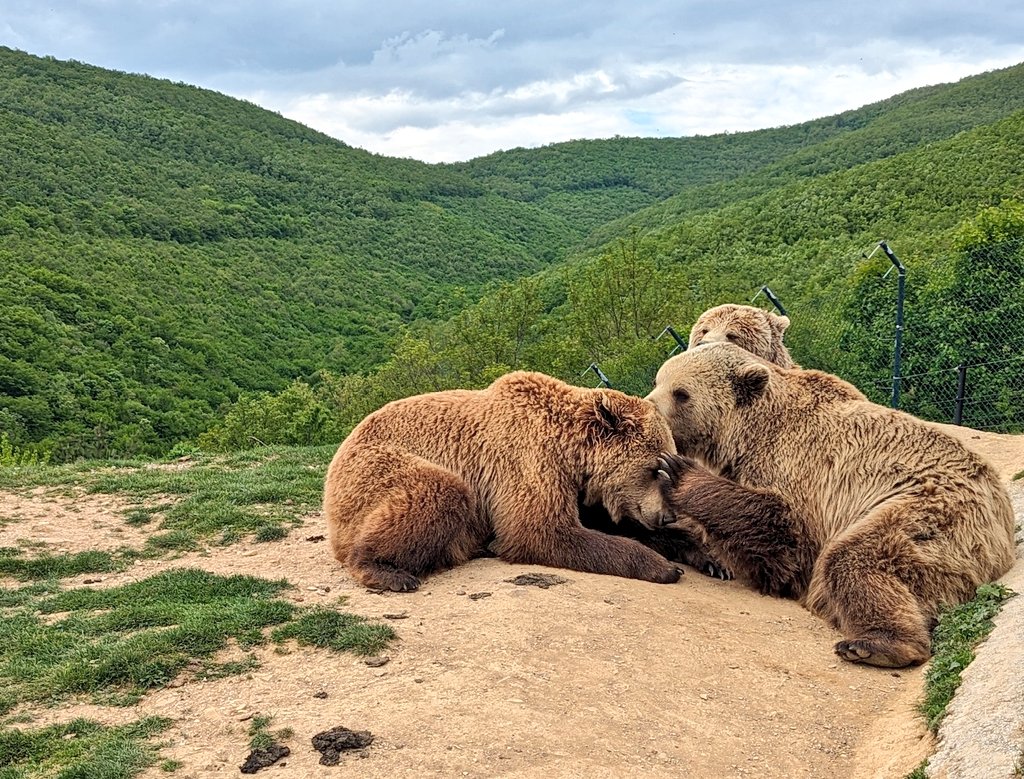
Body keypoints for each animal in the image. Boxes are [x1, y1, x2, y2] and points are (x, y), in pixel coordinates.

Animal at [323, 370, 684, 592]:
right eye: (656, 468)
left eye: (667, 463)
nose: (665, 516)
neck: (572, 452)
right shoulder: (526, 459)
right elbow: (540, 531)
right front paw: (663, 566)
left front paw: (679, 546)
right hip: (374, 468)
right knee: (440, 492)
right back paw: (388, 571)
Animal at [646, 343, 1016, 668]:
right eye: (657, 381)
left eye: (681, 393)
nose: (650, 406)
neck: (747, 434)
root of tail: (1003, 512)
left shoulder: (800, 469)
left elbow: (785, 538)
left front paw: (678, 473)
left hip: (931, 510)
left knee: (856, 557)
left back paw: (877, 644)